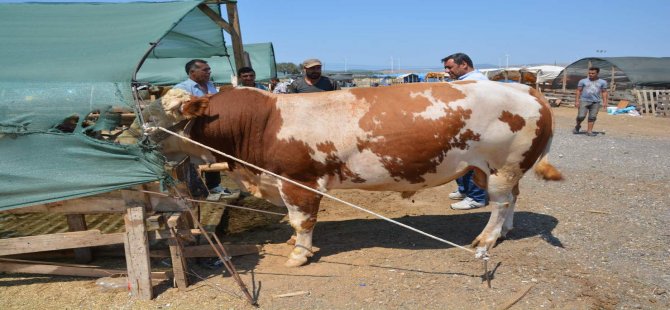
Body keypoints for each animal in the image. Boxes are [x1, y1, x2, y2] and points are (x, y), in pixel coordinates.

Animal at [172, 81, 560, 266]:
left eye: (174, 114)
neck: (265, 122)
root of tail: (524, 88)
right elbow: (296, 222)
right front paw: (293, 244)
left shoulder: (299, 182)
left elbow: (302, 220)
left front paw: (300, 254)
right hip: (489, 169)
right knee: (512, 199)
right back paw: (505, 231)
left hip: (501, 166)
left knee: (500, 203)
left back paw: (486, 238)